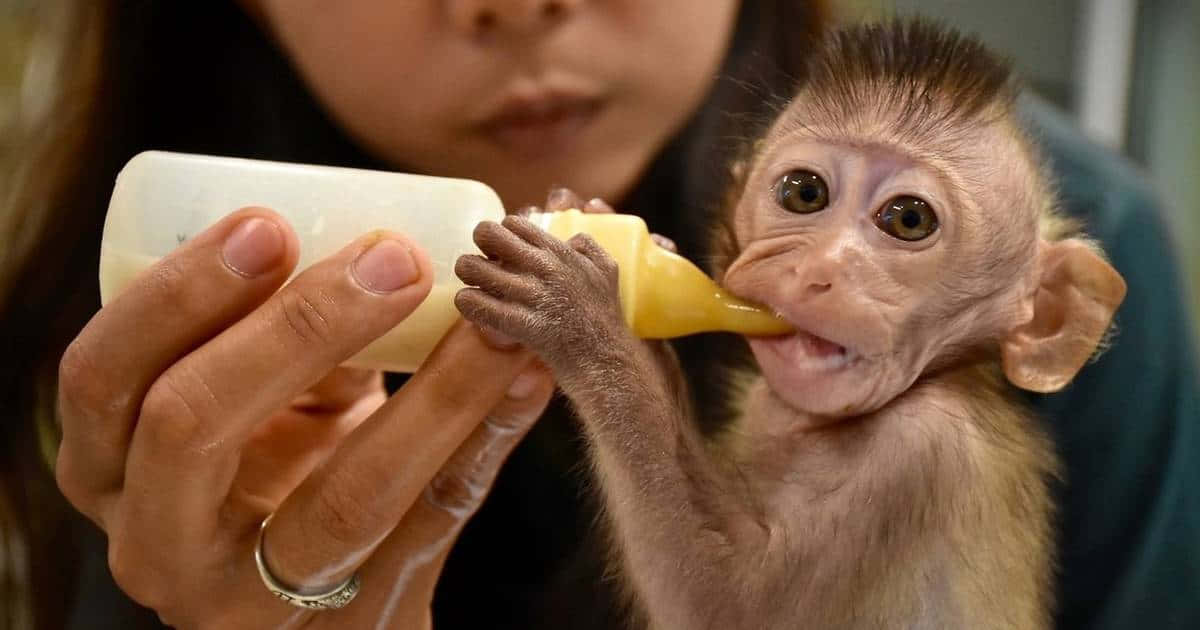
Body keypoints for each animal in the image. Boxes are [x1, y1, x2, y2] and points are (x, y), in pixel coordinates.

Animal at [453, 19, 1128, 628]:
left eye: (909, 219)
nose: (817, 270)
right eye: (805, 193)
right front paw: (584, 217)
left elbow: (731, 608)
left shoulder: (924, 454)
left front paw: (581, 315)